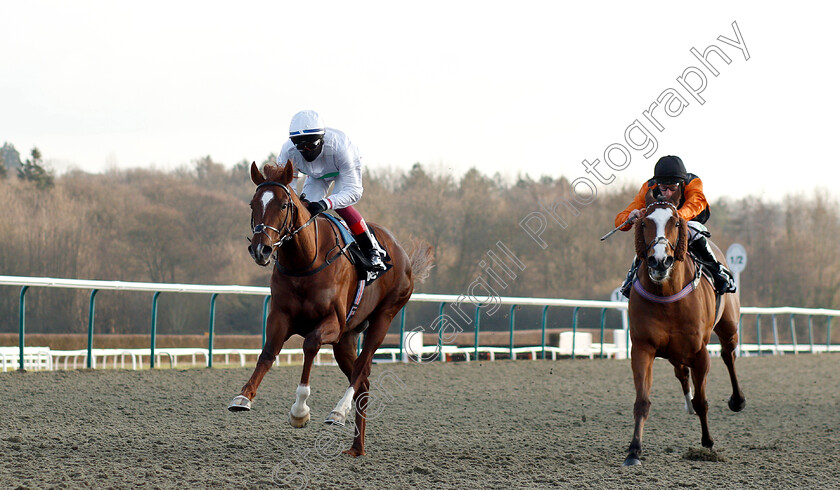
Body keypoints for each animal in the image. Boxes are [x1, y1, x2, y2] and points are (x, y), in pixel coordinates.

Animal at [230, 161, 434, 456]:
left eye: (283, 205)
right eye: (252, 204)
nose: (261, 249)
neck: (305, 261)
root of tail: (402, 254)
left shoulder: (333, 323)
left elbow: (310, 345)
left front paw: (300, 410)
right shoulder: (280, 316)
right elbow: (268, 353)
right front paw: (243, 396)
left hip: (383, 317)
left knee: (361, 369)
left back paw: (339, 411)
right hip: (346, 339)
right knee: (364, 382)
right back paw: (356, 447)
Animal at [620, 200, 744, 468]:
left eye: (676, 223)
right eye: (643, 223)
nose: (659, 261)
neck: (667, 294)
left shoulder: (700, 353)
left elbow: (702, 401)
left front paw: (708, 443)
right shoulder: (642, 348)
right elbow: (641, 402)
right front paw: (634, 451)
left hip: (728, 326)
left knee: (728, 356)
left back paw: (737, 400)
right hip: (673, 351)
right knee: (681, 372)